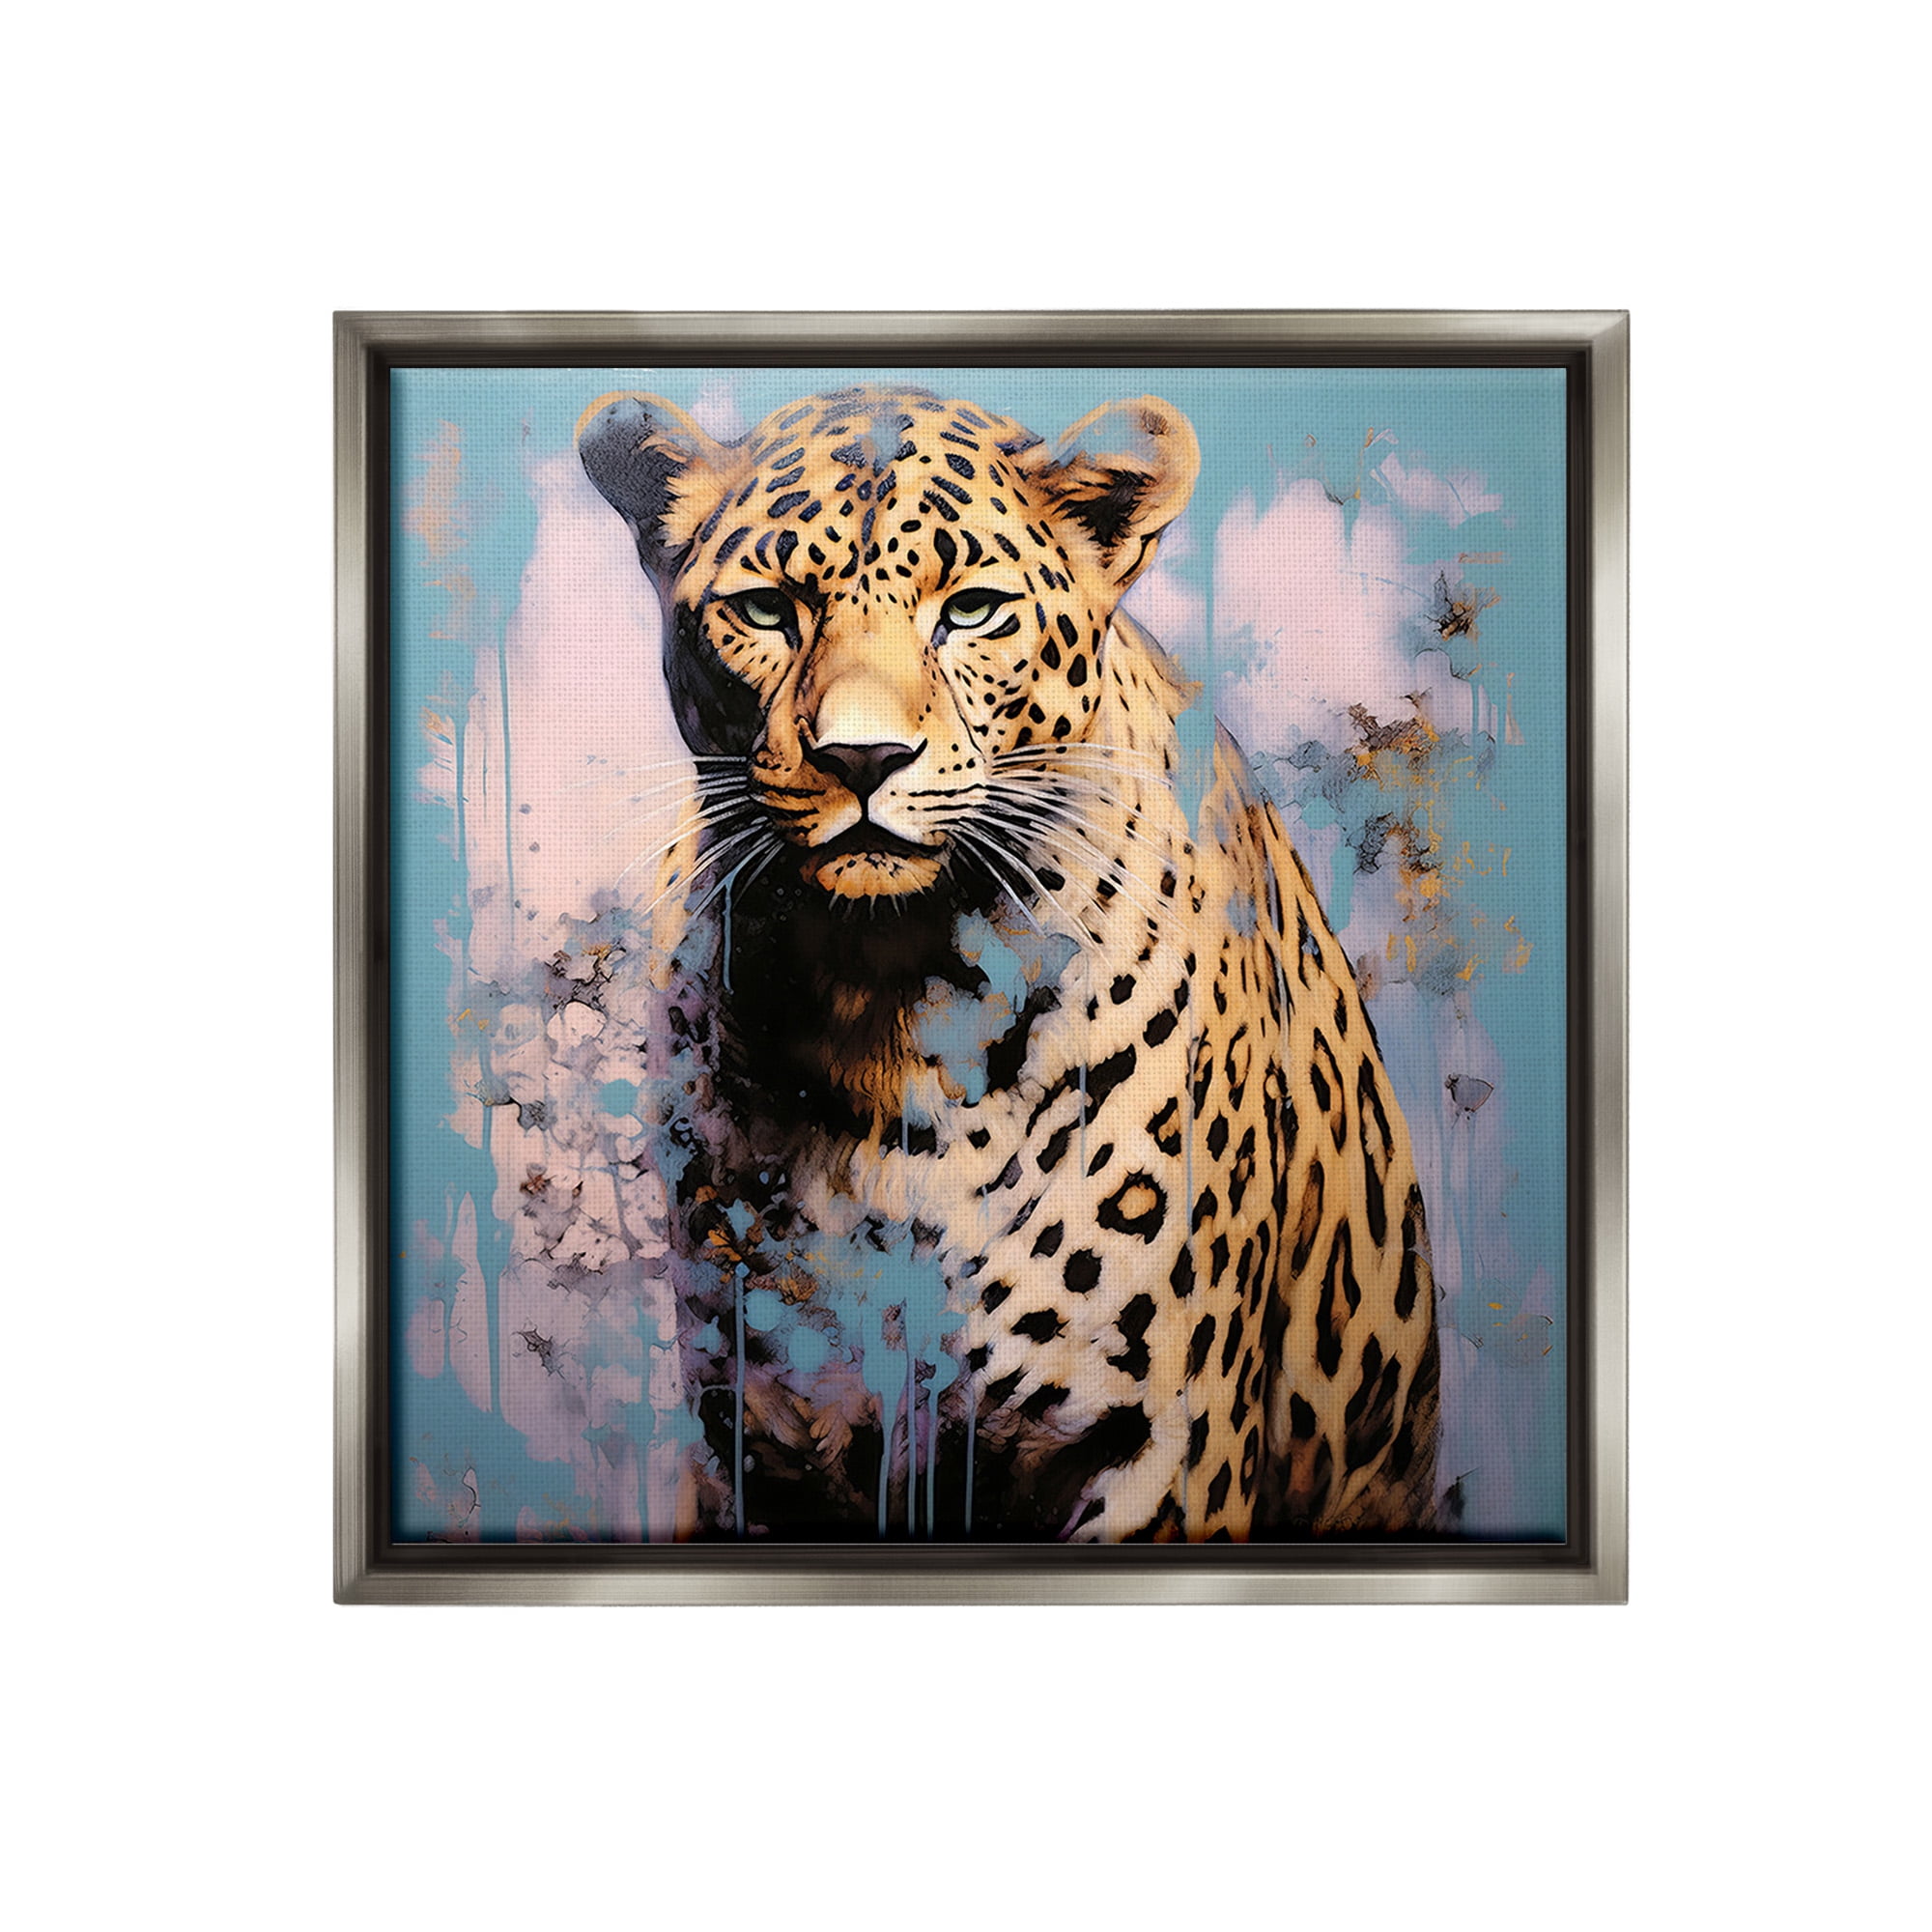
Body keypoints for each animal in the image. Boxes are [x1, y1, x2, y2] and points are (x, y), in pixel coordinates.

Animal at [576, 382, 1445, 1541]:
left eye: (974, 609)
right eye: (765, 611)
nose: (861, 758)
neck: (880, 1007)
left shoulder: (1151, 1450)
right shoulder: (756, 1445)